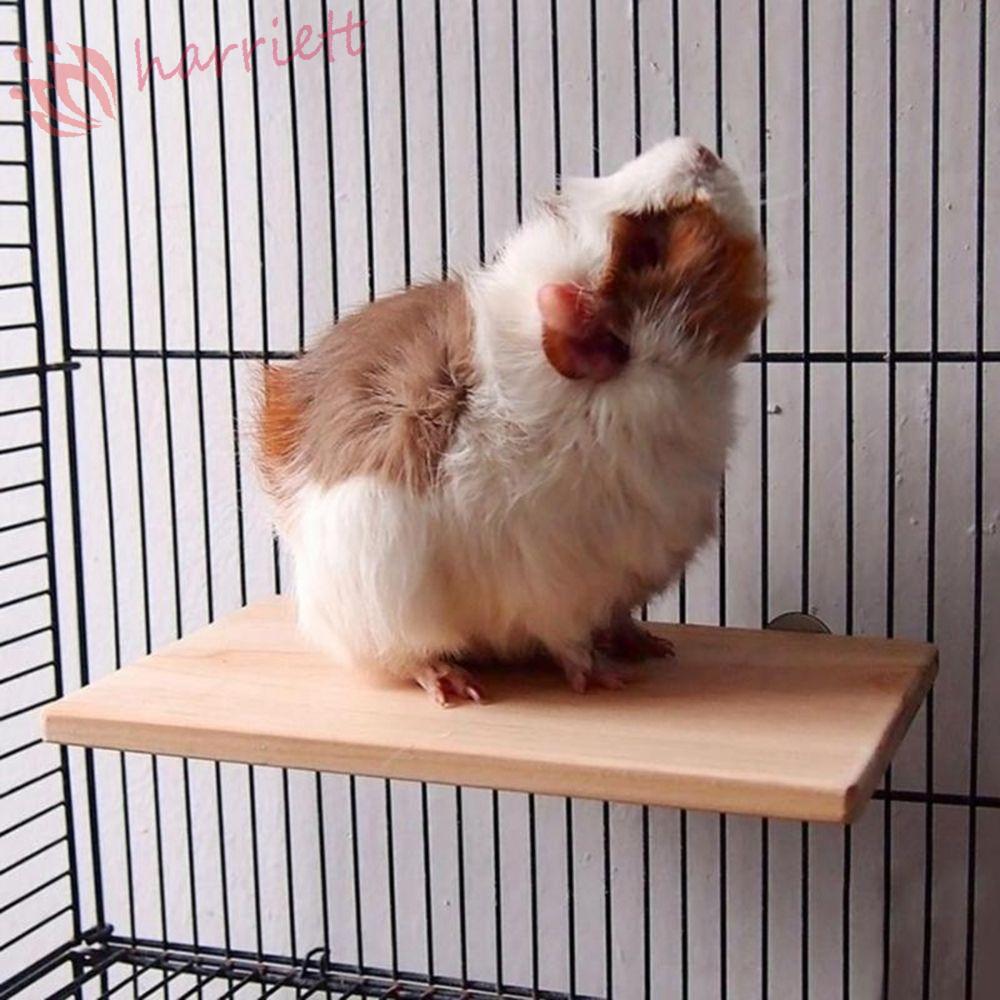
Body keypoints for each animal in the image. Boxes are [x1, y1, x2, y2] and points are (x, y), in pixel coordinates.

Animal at [256, 136, 766, 705]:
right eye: (652, 244)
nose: (699, 148)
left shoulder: (618, 581)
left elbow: (617, 618)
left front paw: (652, 647)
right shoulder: (559, 591)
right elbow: (571, 644)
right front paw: (605, 680)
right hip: (384, 605)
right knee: (404, 656)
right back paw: (454, 687)